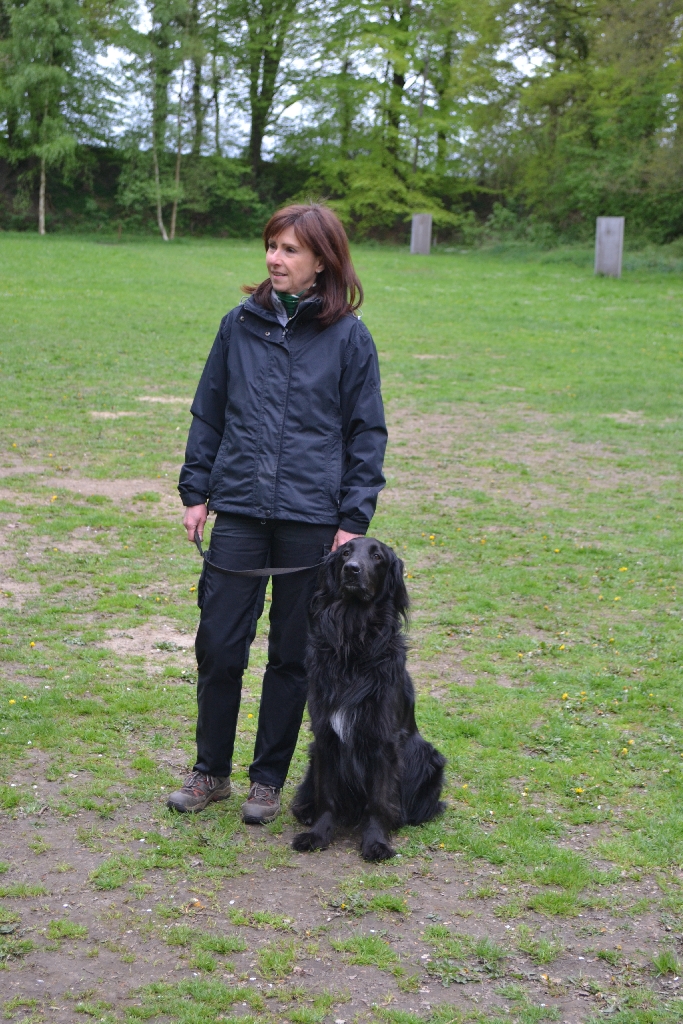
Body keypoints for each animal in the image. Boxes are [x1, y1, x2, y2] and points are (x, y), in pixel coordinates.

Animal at [291, 537, 445, 861]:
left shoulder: (383, 740)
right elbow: (327, 796)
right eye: (345, 553)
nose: (352, 569)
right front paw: (318, 834)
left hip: (427, 757)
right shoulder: (325, 735)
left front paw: (376, 842)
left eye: (377, 557)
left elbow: (379, 799)